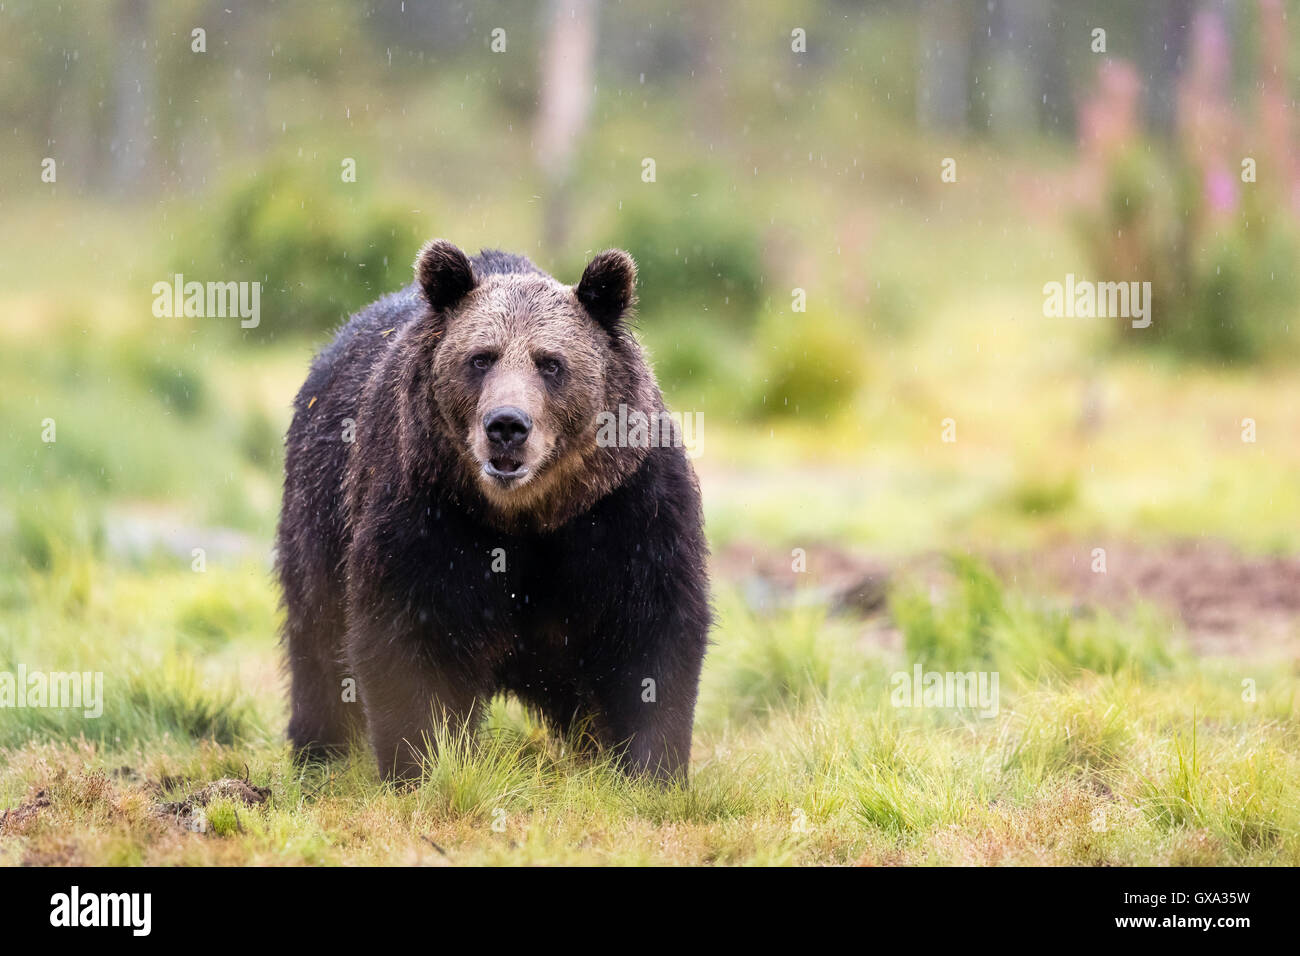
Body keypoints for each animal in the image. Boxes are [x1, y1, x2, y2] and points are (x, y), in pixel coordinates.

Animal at [275, 240, 717, 785]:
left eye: (551, 363)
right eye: (480, 358)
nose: (507, 425)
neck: (528, 514)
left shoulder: (625, 506)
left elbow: (650, 629)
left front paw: (652, 770)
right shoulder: (427, 509)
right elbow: (408, 633)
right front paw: (421, 765)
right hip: (317, 512)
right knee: (317, 639)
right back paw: (319, 751)